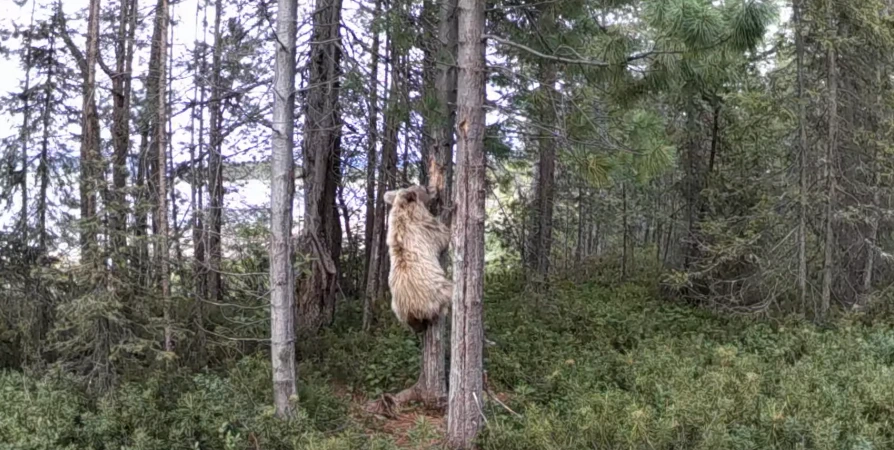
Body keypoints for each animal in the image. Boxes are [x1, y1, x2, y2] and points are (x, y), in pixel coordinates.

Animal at [384, 185, 456, 332]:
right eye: (417, 188)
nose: (424, 186)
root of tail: (411, 311)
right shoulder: (425, 227)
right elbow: (443, 233)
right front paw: (450, 209)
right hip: (437, 292)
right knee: (448, 293)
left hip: (399, 309)